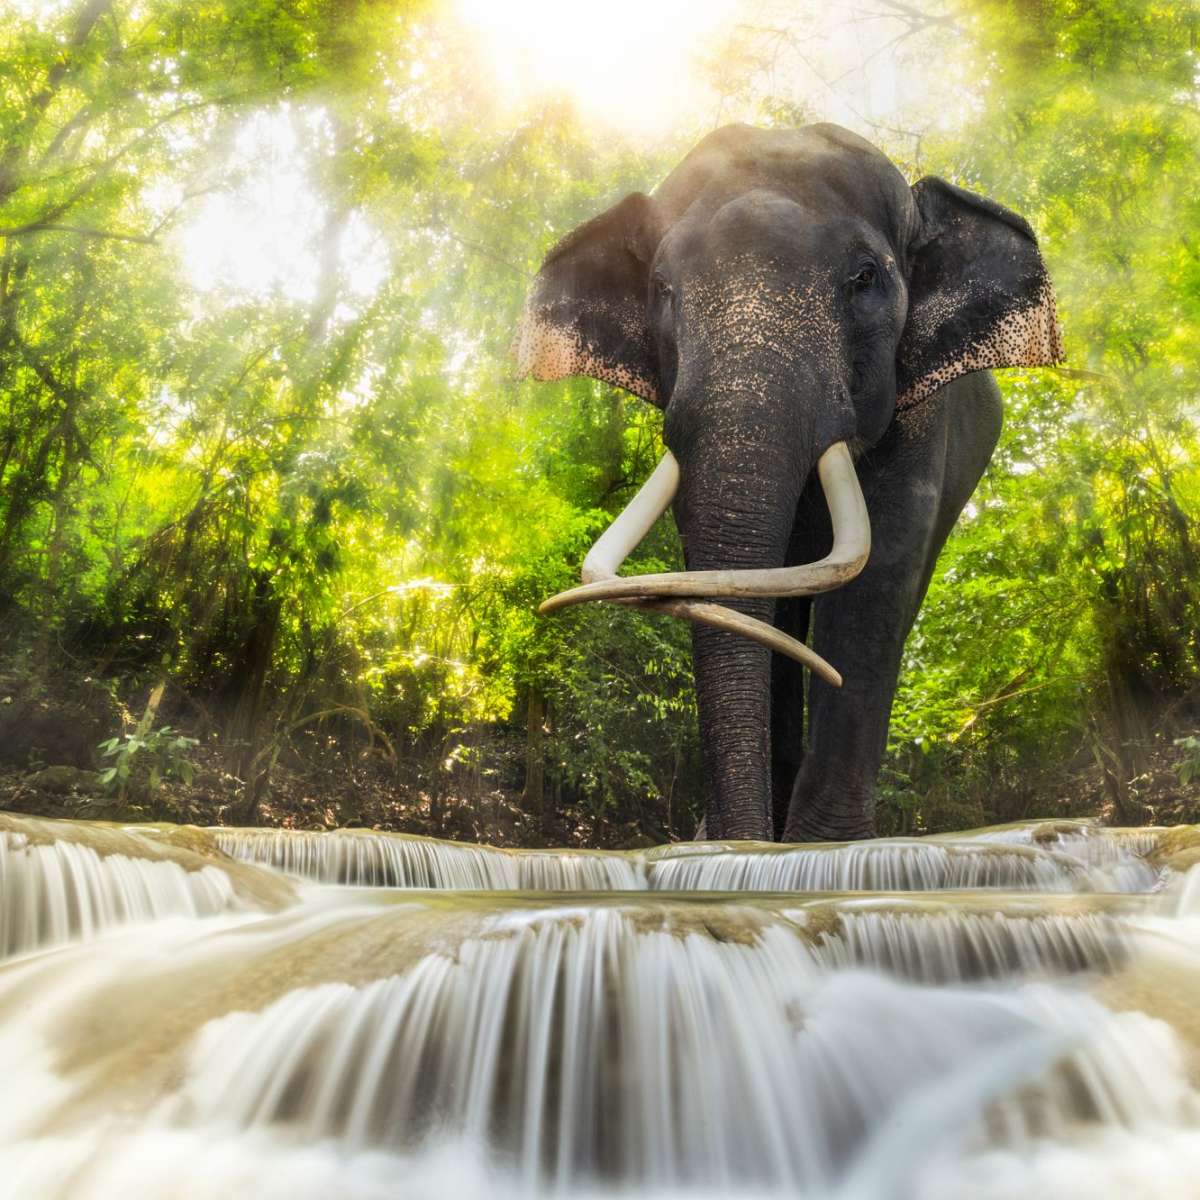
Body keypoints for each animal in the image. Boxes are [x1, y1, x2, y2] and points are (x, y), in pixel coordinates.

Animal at [515, 123, 1061, 843]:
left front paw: (823, 849)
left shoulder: (920, 416)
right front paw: (736, 844)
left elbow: (878, 576)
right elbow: (737, 585)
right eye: (662, 288)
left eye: (865, 277)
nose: (725, 838)